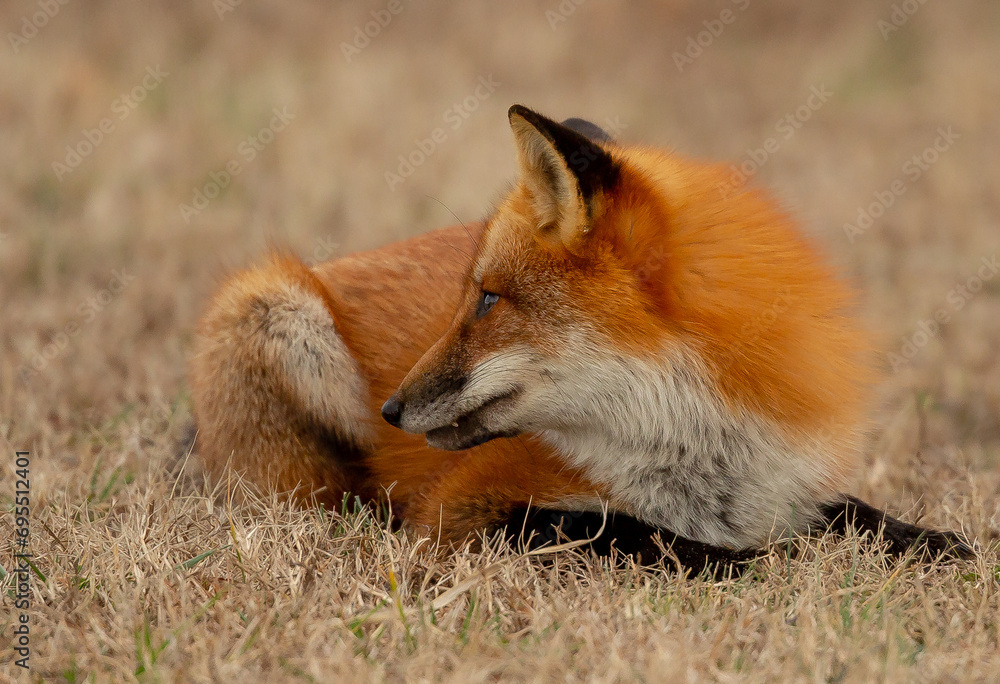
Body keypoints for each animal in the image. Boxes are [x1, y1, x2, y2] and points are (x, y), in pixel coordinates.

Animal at [189, 105, 971, 571]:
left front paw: (936, 544)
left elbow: (855, 516)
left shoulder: (788, 488)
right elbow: (637, 535)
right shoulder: (461, 511)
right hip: (280, 319)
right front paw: (759, 563)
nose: (391, 412)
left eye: (487, 300)